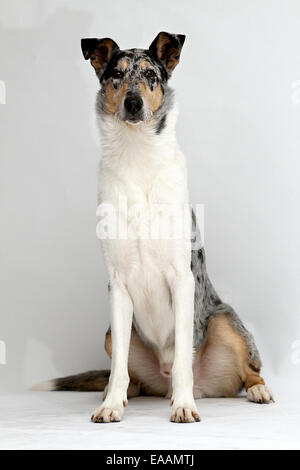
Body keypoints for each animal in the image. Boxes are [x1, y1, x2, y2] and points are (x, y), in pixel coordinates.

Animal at [32, 32, 274, 422]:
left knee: (247, 370)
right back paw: (119, 393)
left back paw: (255, 390)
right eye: (116, 74)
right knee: (129, 377)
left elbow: (182, 360)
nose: (133, 103)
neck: (136, 156)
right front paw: (110, 406)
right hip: (112, 334)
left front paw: (184, 406)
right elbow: (118, 367)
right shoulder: (117, 284)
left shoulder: (181, 277)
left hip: (224, 321)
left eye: (150, 75)